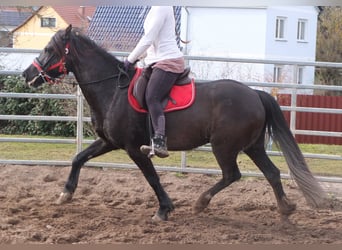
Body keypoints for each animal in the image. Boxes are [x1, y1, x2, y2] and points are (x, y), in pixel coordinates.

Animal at [21, 25, 326, 221]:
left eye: (48, 49)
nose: (27, 75)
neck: (112, 89)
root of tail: (255, 94)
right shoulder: (109, 142)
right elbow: (78, 158)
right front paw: (65, 194)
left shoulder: (133, 148)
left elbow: (152, 177)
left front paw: (164, 209)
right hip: (252, 146)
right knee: (272, 173)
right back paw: (285, 209)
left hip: (224, 147)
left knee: (232, 175)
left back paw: (201, 202)